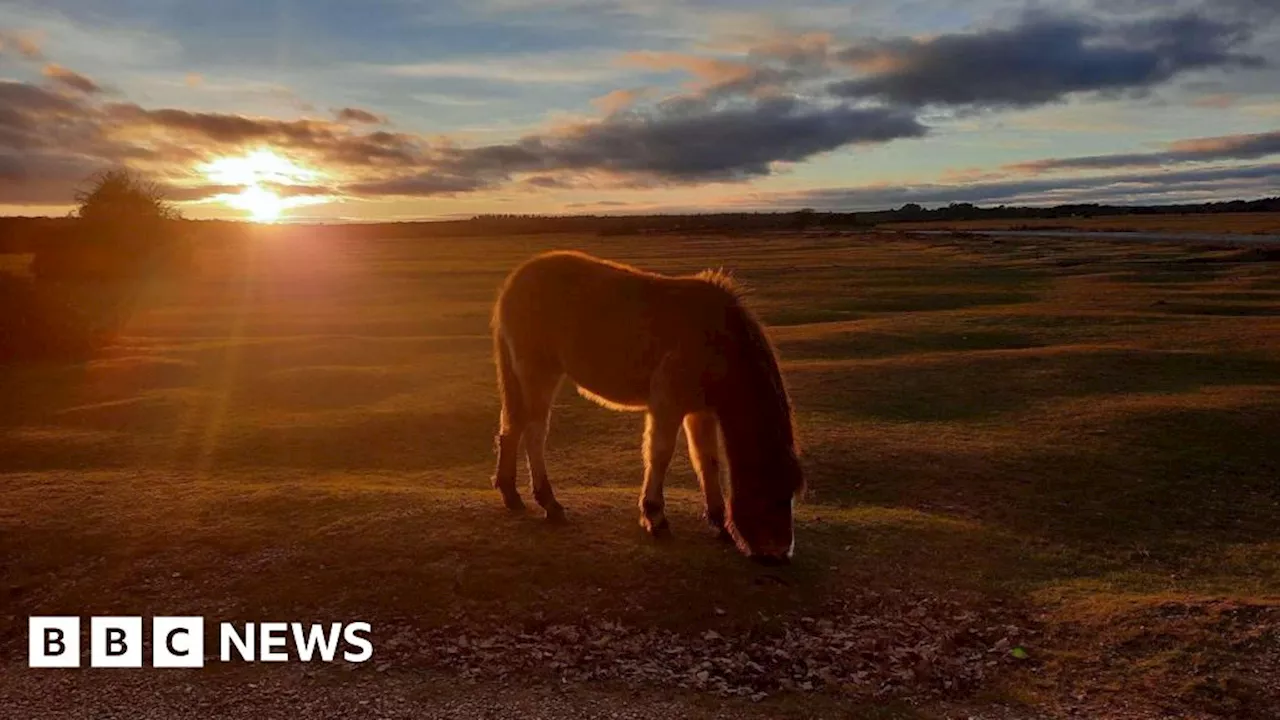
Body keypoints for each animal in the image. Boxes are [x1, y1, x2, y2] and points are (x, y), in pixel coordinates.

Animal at [486, 249, 798, 563]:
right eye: (775, 496)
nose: (781, 553)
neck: (717, 337)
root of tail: (515, 281)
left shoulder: (701, 412)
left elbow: (707, 460)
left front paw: (718, 523)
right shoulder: (667, 403)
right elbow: (659, 455)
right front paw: (655, 517)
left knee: (512, 426)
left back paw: (510, 494)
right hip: (539, 373)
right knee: (534, 433)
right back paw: (549, 503)